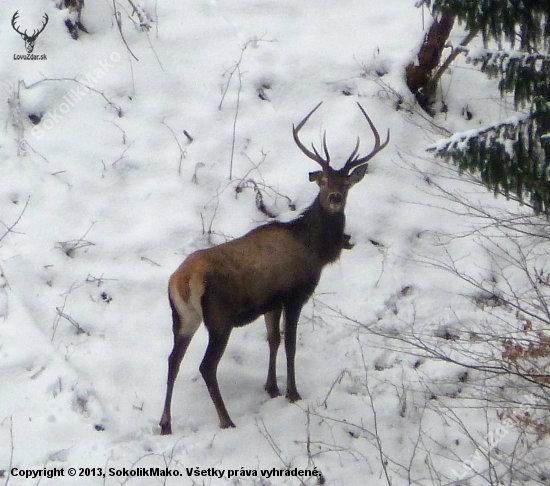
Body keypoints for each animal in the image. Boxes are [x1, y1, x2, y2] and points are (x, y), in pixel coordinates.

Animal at [161, 99, 392, 432]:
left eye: (347, 183)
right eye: (323, 182)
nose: (335, 198)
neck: (313, 249)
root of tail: (182, 280)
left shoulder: (271, 301)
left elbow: (273, 340)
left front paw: (271, 387)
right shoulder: (295, 294)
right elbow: (290, 344)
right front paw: (292, 393)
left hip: (183, 318)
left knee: (172, 360)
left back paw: (165, 423)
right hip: (219, 317)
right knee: (206, 366)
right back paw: (226, 420)